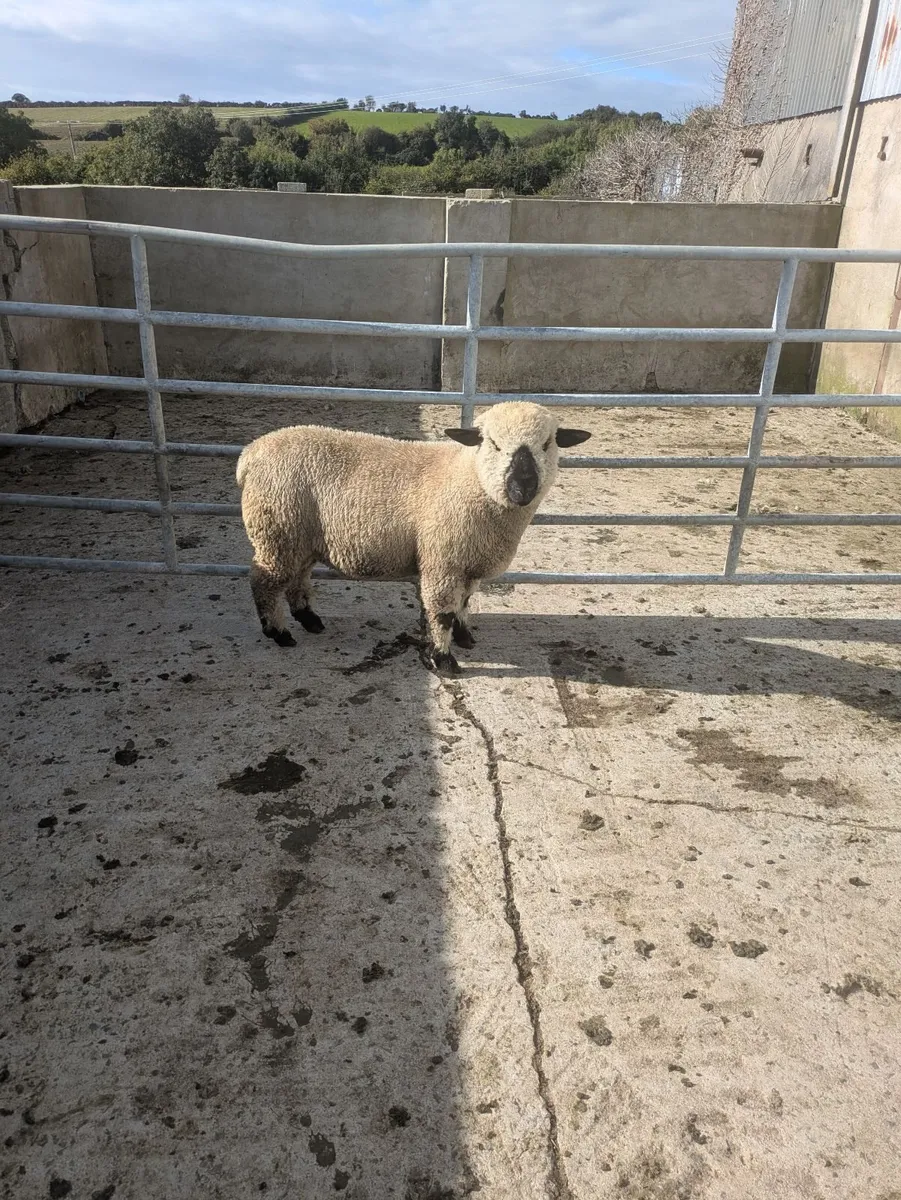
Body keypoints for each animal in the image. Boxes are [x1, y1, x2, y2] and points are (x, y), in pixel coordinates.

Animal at [236, 401, 591, 673]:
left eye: (547, 444)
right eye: (493, 444)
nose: (523, 487)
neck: (468, 478)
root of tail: (250, 453)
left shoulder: (467, 562)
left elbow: (464, 603)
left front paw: (464, 637)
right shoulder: (443, 562)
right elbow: (442, 612)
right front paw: (444, 659)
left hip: (298, 538)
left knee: (296, 578)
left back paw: (309, 619)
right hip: (276, 530)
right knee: (264, 581)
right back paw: (279, 633)